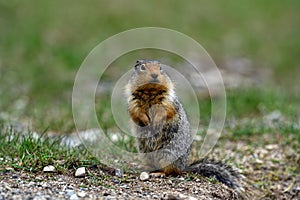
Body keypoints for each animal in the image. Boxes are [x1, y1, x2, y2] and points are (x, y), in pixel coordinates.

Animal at [126, 59, 241, 189]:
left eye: (160, 68)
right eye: (142, 67)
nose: (154, 75)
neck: (150, 91)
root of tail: (184, 167)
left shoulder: (168, 100)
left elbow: (165, 110)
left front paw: (156, 122)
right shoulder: (133, 100)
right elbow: (136, 112)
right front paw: (146, 121)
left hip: (168, 154)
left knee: (171, 171)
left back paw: (159, 173)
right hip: (146, 154)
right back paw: (146, 168)